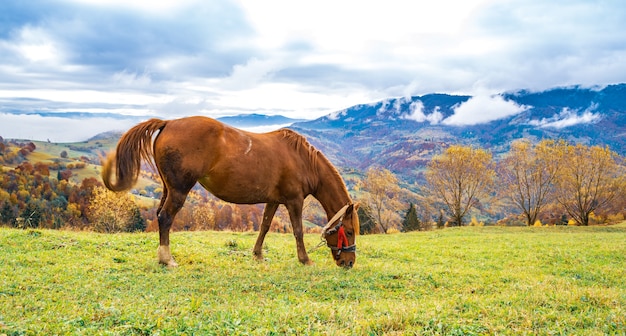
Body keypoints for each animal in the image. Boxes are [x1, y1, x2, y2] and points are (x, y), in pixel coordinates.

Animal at [100, 117, 358, 270]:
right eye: (349, 232)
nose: (349, 262)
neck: (302, 160)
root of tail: (169, 122)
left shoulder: (274, 201)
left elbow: (264, 226)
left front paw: (257, 254)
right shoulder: (294, 201)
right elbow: (298, 231)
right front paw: (305, 259)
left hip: (168, 188)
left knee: (159, 215)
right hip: (179, 191)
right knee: (165, 218)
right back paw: (167, 258)